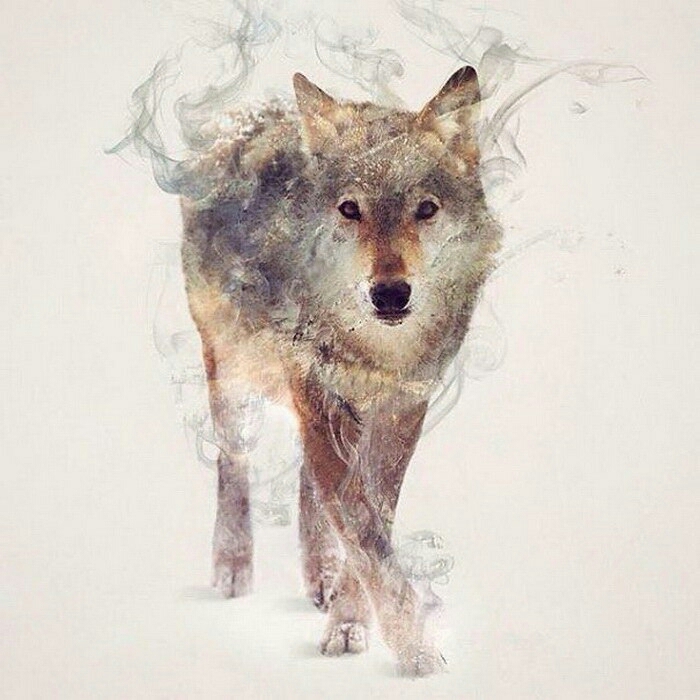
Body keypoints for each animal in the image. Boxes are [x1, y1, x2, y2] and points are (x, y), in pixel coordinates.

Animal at [179, 65, 501, 675]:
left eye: (426, 209)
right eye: (350, 209)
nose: (391, 293)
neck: (376, 349)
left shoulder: (403, 407)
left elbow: (371, 515)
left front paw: (352, 619)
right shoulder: (317, 391)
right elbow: (359, 520)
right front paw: (412, 645)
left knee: (311, 482)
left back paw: (321, 576)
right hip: (232, 371)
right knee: (233, 461)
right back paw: (233, 564)